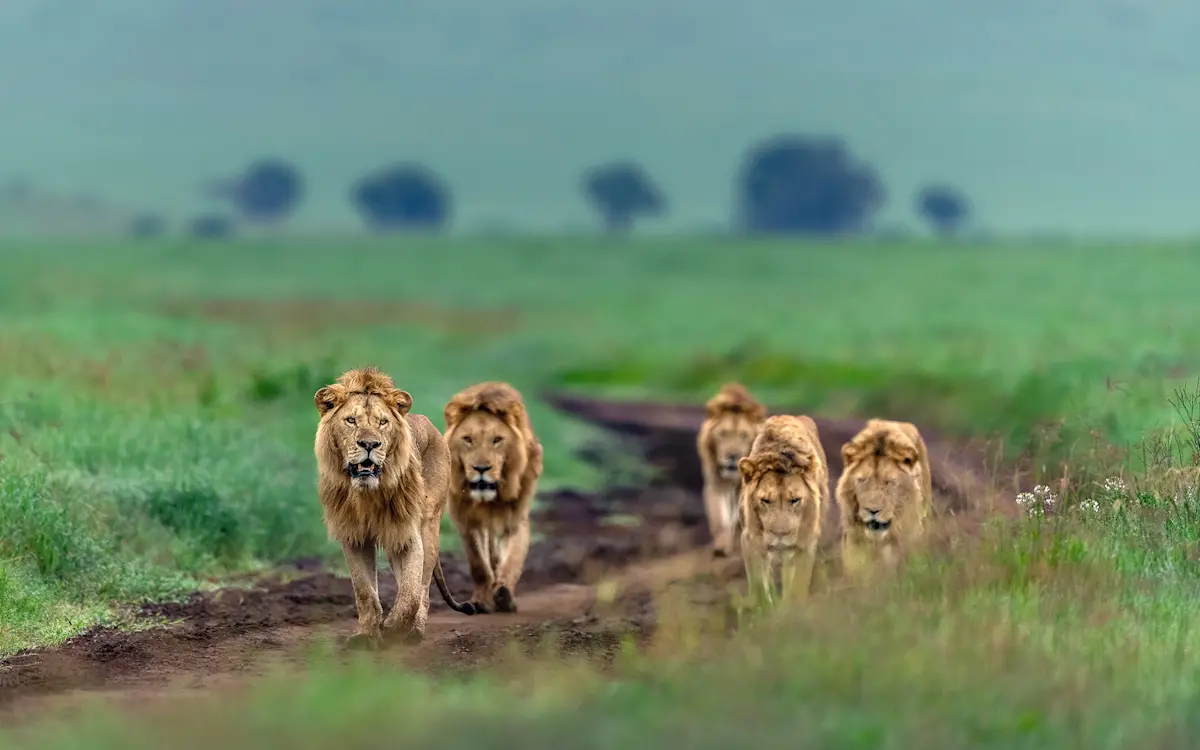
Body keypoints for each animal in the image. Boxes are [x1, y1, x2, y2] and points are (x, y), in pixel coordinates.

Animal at [314, 367, 475, 650]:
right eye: (351, 421)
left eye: (382, 423)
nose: (370, 445)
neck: (367, 494)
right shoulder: (354, 536)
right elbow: (365, 592)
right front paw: (368, 635)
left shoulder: (408, 535)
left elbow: (411, 593)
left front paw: (393, 628)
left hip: (429, 525)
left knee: (422, 588)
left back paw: (414, 631)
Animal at [443, 381, 544, 614]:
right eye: (468, 439)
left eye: (497, 440)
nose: (481, 469)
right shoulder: (467, 520)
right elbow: (479, 565)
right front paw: (482, 600)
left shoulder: (515, 518)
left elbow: (513, 559)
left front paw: (504, 594)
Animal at [696, 383, 768, 558]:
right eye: (723, 434)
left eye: (744, 435)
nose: (732, 456)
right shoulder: (717, 484)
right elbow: (719, 518)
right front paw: (721, 546)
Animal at [736, 414, 828, 606]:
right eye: (765, 500)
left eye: (795, 500)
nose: (780, 534)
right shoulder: (750, 540)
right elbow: (759, 587)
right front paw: (763, 609)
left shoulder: (806, 543)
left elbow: (797, 588)